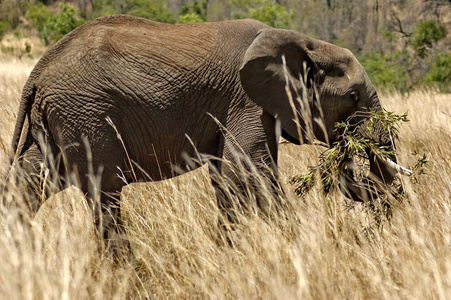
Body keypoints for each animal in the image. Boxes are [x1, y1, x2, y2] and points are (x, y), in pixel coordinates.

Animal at [9, 15, 410, 237]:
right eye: (354, 98)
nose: (350, 155)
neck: (304, 43)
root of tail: (38, 73)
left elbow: (227, 179)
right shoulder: (245, 101)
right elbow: (249, 172)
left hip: (54, 124)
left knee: (28, 184)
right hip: (87, 115)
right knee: (104, 193)